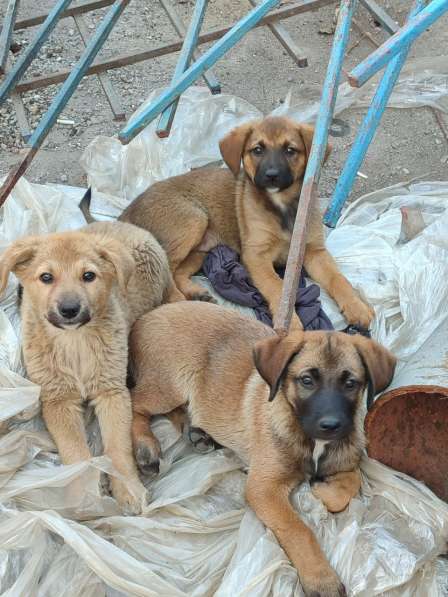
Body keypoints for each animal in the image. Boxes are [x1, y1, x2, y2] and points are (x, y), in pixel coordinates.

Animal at [0, 221, 181, 516]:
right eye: (46, 277)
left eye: (88, 276)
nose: (69, 309)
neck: (75, 342)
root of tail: (125, 224)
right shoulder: (58, 400)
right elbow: (76, 452)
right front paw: (85, 497)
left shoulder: (112, 392)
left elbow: (118, 447)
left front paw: (128, 488)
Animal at [119, 115, 374, 330]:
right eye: (257, 150)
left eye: (290, 150)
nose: (271, 175)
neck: (282, 207)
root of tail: (128, 210)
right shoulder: (256, 256)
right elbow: (277, 286)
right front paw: (289, 325)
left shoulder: (314, 251)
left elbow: (337, 278)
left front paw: (357, 306)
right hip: (193, 220)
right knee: (166, 268)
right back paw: (178, 302)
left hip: (202, 249)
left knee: (177, 271)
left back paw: (195, 294)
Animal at [130, 304, 396, 592]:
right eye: (306, 381)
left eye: (350, 384)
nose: (331, 426)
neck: (309, 439)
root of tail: (145, 318)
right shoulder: (264, 488)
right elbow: (298, 530)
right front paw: (321, 579)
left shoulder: (346, 459)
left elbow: (351, 483)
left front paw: (323, 492)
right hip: (168, 386)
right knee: (132, 403)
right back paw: (145, 446)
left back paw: (196, 432)